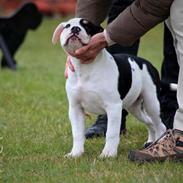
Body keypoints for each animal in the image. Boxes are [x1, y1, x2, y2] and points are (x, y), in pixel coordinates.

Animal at [51, 18, 167, 157]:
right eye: (67, 26)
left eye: (87, 26)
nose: (75, 29)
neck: (85, 67)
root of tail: (148, 64)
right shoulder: (75, 108)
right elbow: (77, 133)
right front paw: (75, 153)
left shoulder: (113, 107)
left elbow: (111, 133)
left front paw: (108, 154)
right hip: (135, 108)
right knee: (150, 122)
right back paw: (150, 142)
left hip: (152, 103)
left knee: (160, 125)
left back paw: (158, 145)